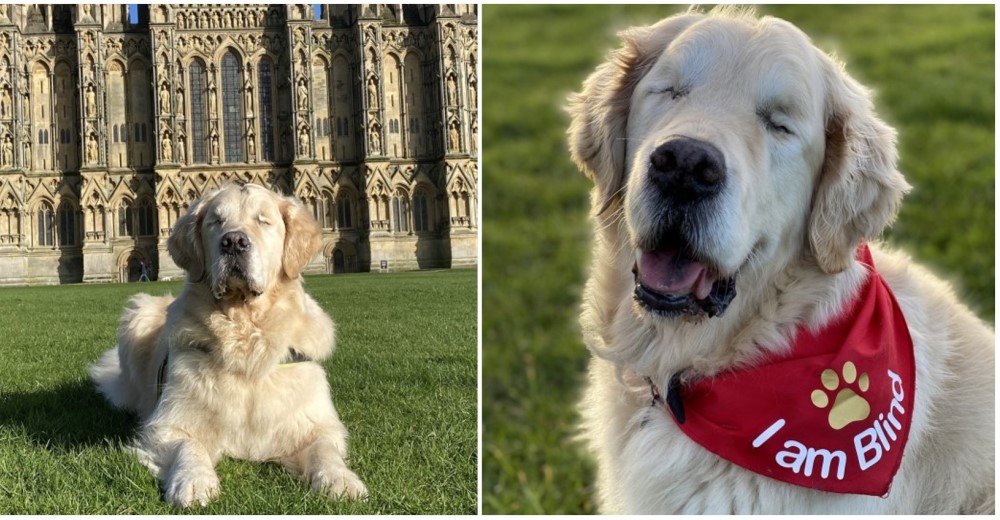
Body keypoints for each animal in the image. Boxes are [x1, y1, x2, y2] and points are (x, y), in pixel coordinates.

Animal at [90, 184, 368, 508]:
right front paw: (194, 480)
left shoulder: (315, 423)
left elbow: (325, 450)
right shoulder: (168, 425)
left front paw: (341, 479)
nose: (234, 242)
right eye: (216, 221)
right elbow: (189, 446)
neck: (245, 338)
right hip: (139, 311)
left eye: (263, 220)